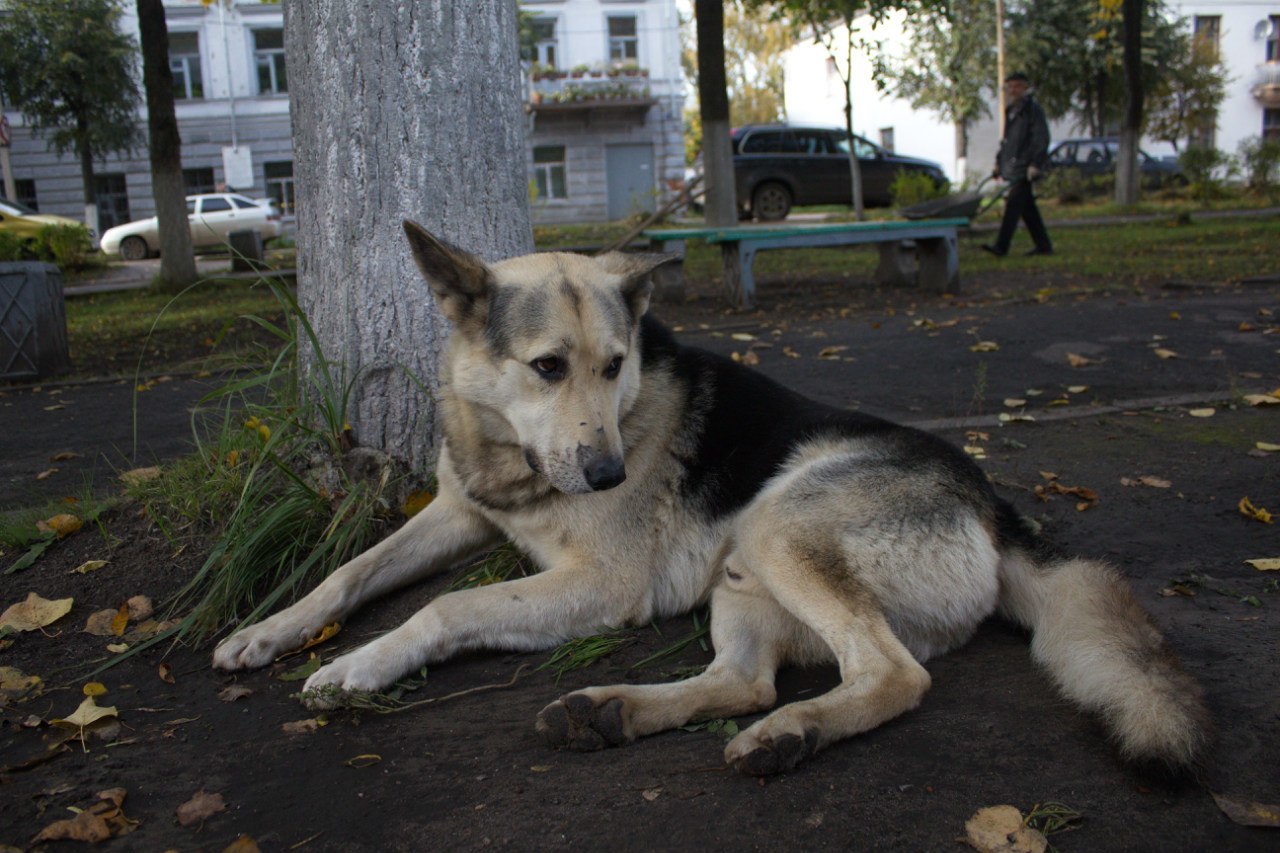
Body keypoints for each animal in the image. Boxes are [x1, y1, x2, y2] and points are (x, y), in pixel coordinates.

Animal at [212, 220, 1208, 778]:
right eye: (548, 367)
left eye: (615, 365)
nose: (610, 475)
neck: (509, 455)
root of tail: (994, 506)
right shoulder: (456, 512)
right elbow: (348, 573)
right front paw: (267, 629)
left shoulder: (599, 583)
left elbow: (447, 607)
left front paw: (357, 666)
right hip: (742, 573)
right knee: (742, 679)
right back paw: (613, 712)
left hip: (777, 525)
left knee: (891, 674)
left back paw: (790, 731)